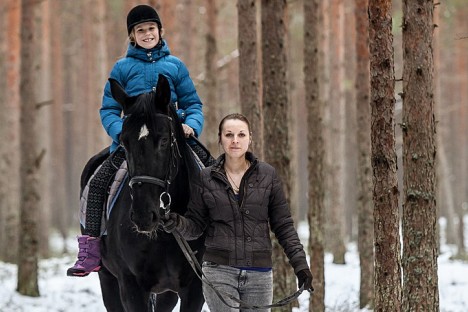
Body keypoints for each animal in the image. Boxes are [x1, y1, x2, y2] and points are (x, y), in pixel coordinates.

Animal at [81, 74, 206, 310]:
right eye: (124, 142)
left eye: (164, 140)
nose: (143, 216)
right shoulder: (131, 286)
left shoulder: (195, 288)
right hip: (107, 279)